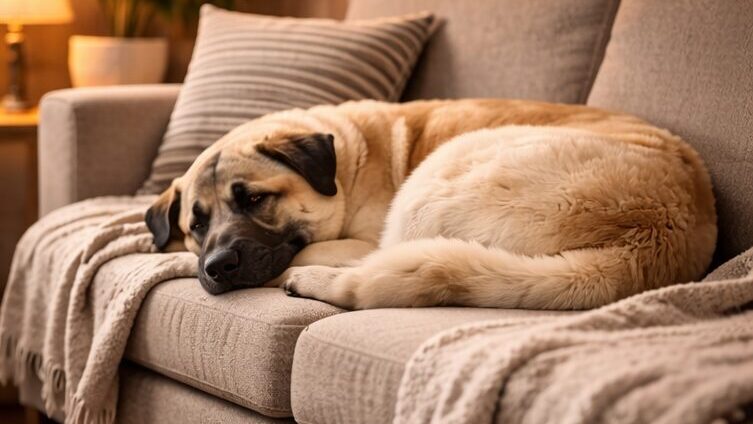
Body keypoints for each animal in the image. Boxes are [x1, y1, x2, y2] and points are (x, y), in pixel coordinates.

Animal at [145, 99, 716, 310]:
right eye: (197, 225)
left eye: (255, 199)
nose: (217, 265)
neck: (348, 163)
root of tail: (644, 239)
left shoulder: (355, 238)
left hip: (432, 182)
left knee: (376, 278)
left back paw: (314, 282)